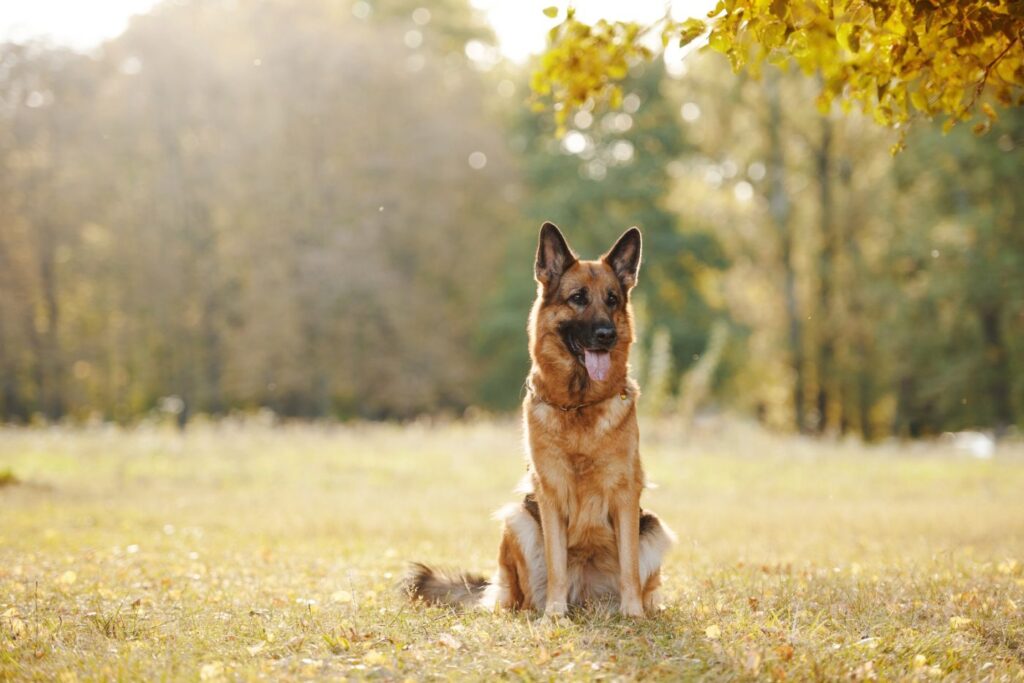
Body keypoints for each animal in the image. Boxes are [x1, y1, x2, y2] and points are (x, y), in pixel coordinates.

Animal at [403, 224, 675, 618]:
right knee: (521, 596)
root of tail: (586, 597)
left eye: (612, 299)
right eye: (578, 298)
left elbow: (629, 567)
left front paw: (633, 615)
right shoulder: (550, 495)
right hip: (517, 519)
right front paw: (554, 615)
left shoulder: (626, 495)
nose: (607, 335)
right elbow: (557, 562)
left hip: (654, 528)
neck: (579, 405)